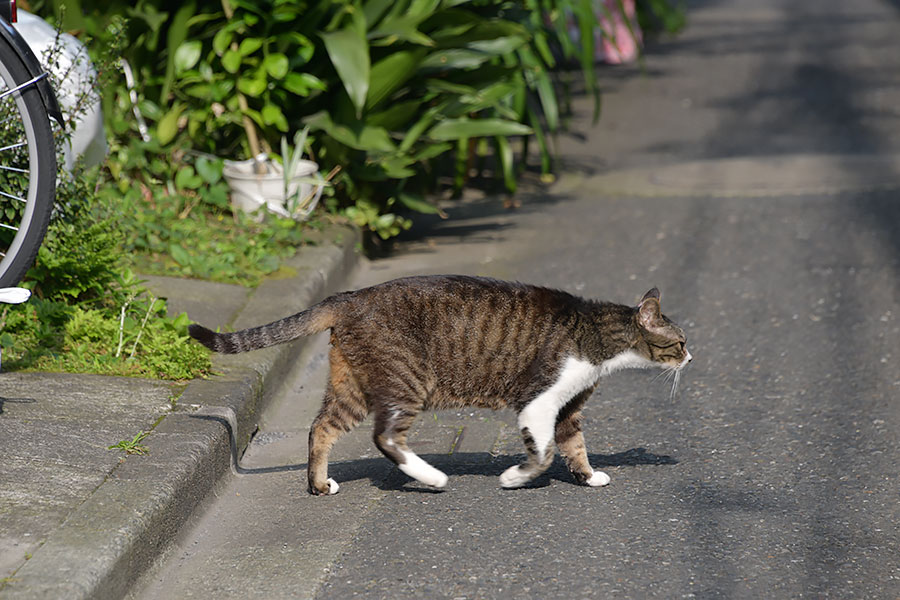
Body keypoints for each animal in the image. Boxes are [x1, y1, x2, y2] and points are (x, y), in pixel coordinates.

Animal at [190, 274, 692, 494]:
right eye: (681, 341)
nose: (692, 356)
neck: (596, 334)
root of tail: (348, 297)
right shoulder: (538, 401)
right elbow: (544, 453)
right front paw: (514, 477)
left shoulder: (568, 408)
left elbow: (573, 445)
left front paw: (588, 477)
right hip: (408, 379)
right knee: (385, 437)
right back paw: (431, 476)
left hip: (352, 384)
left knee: (322, 429)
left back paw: (319, 485)